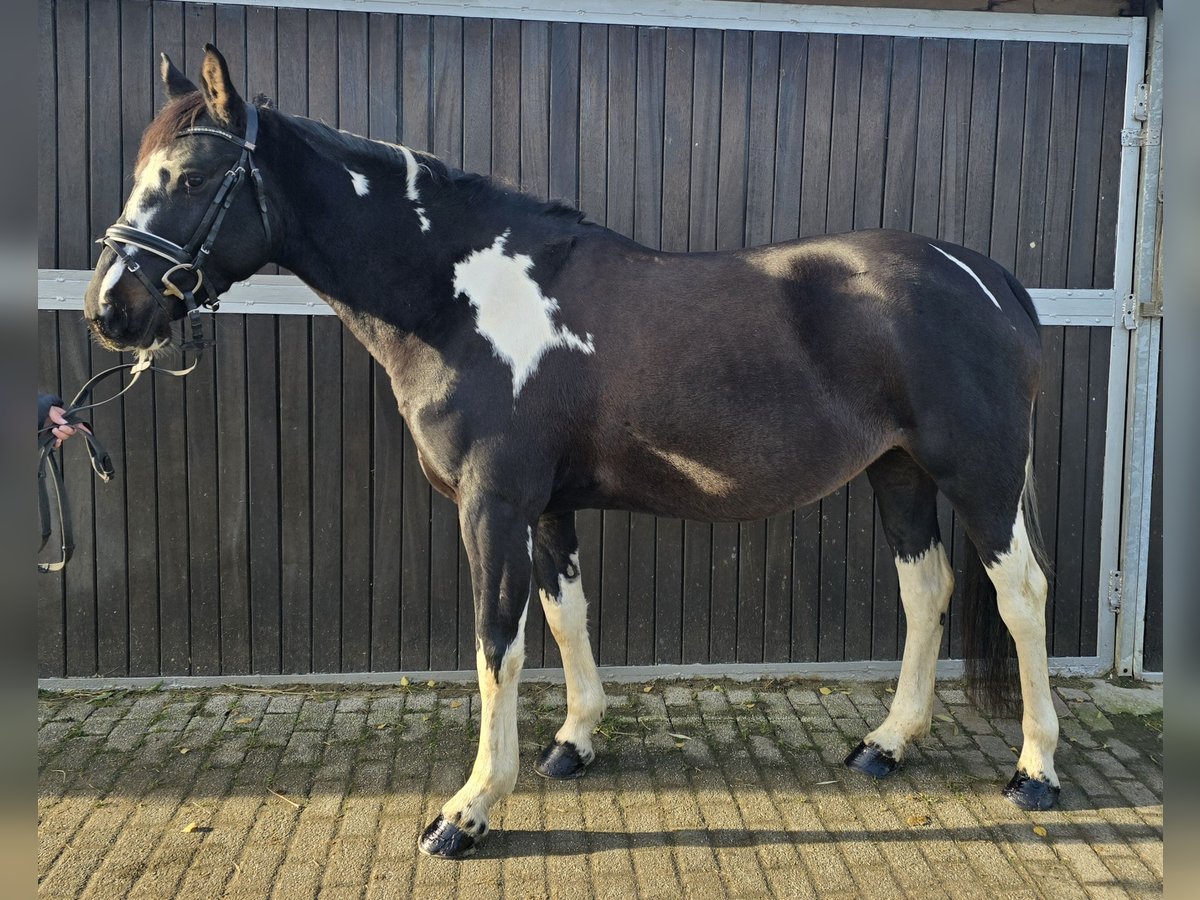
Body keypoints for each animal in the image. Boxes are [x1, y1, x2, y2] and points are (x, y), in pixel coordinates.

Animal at [82, 45, 1059, 859]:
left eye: (191, 175)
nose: (110, 309)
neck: (462, 299)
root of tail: (984, 276)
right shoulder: (547, 508)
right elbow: (566, 618)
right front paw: (574, 742)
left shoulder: (494, 505)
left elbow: (497, 645)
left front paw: (470, 809)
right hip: (899, 473)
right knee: (926, 590)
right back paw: (887, 745)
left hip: (978, 474)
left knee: (1020, 595)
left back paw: (1035, 772)